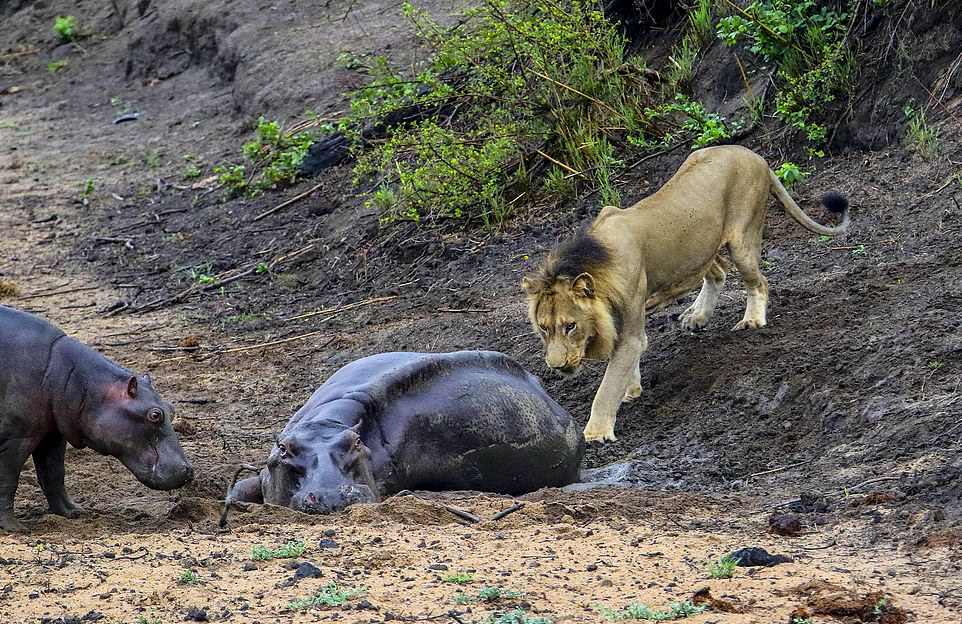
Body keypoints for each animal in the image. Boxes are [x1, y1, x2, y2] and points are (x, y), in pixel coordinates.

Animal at [0, 304, 193, 528]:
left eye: (171, 408)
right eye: (155, 415)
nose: (189, 470)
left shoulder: (52, 434)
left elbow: (54, 474)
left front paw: (74, 512)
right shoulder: (17, 437)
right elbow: (8, 479)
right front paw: (14, 527)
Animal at [520, 144, 844, 442]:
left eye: (570, 326)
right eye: (544, 329)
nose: (556, 367)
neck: (596, 265)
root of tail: (753, 154)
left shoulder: (630, 327)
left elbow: (607, 386)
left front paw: (596, 433)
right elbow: (625, 367)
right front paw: (632, 389)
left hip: (743, 239)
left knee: (759, 281)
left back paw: (752, 320)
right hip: (704, 247)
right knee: (717, 272)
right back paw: (697, 317)